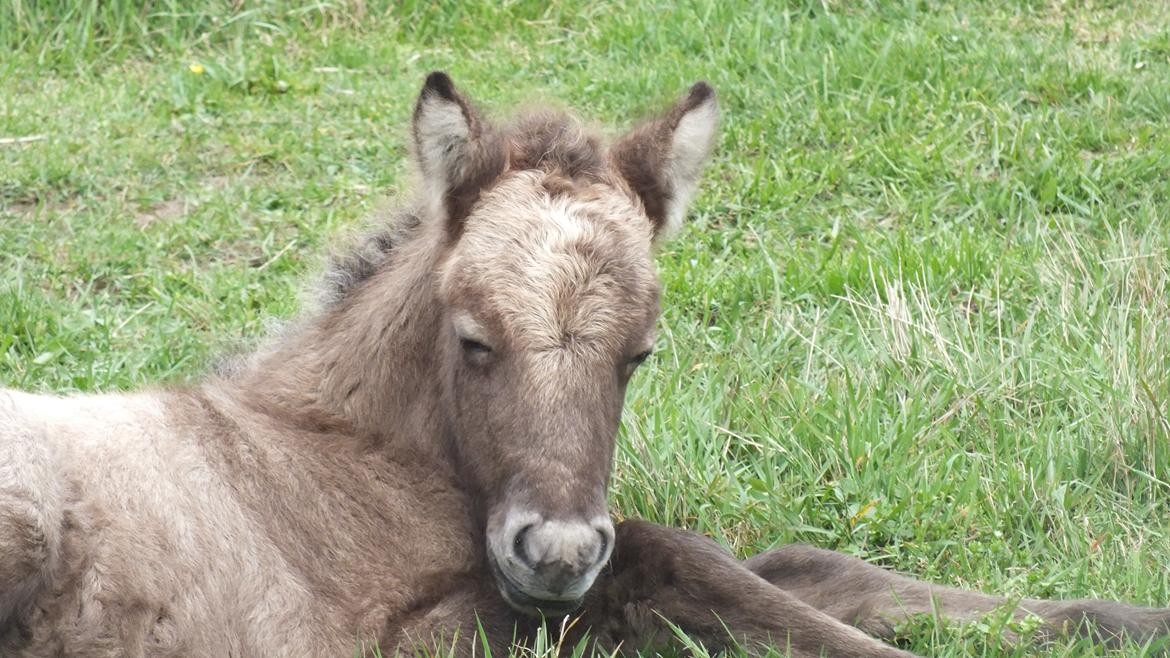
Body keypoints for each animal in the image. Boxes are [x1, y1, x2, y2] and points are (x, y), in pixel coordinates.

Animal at [0, 72, 1165, 655]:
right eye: (473, 339)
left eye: (639, 356)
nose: (555, 550)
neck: (353, 456)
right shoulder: (426, 632)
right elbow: (675, 562)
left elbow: (796, 564)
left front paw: (1118, 618)